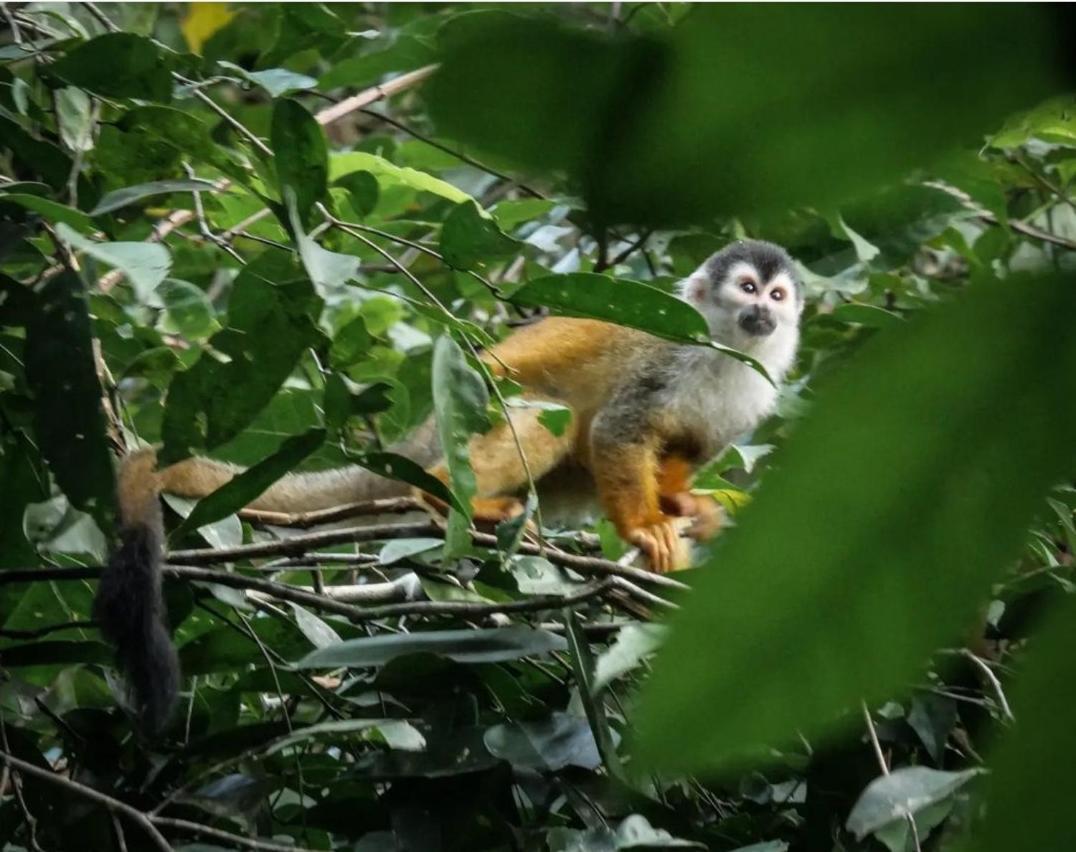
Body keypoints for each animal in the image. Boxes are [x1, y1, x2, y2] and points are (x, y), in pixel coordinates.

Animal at [94, 236, 800, 727]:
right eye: (745, 288)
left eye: (776, 296)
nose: (763, 314)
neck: (728, 351)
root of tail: (419, 438)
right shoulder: (664, 356)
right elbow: (616, 432)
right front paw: (644, 527)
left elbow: (687, 449)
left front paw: (681, 505)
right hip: (463, 417)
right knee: (547, 414)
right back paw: (441, 494)